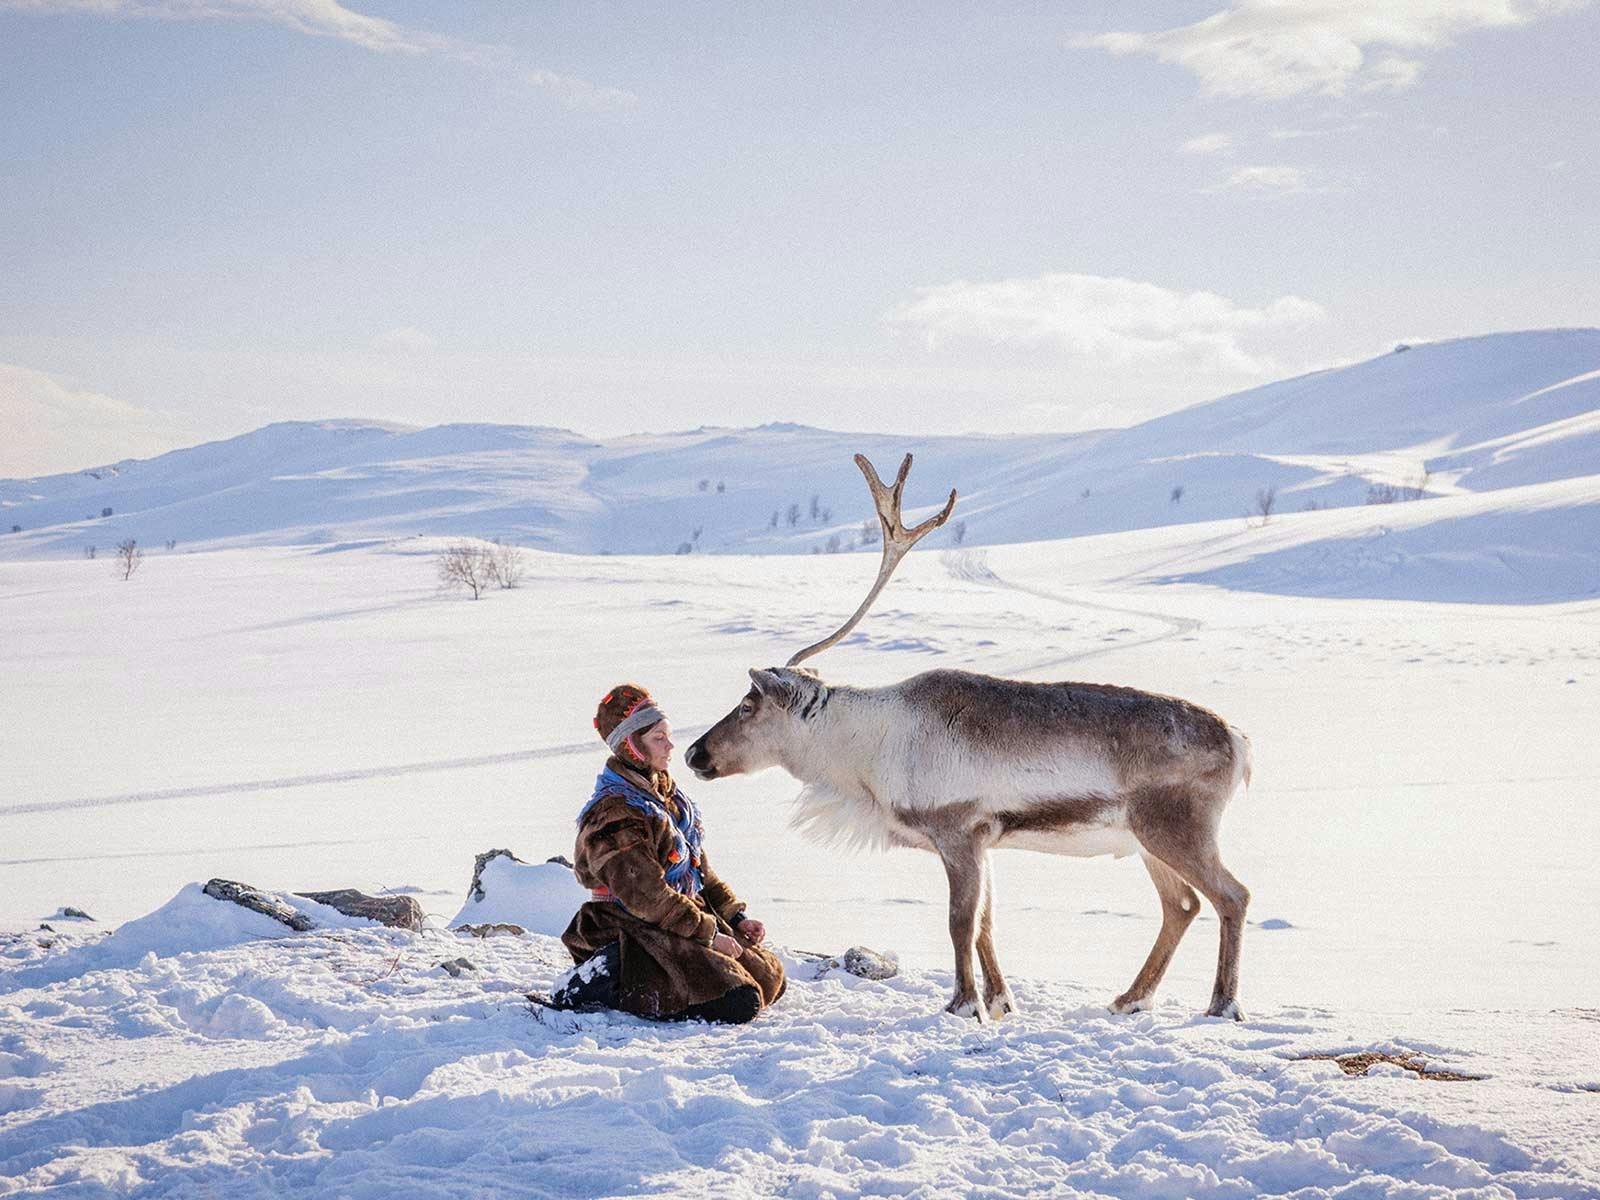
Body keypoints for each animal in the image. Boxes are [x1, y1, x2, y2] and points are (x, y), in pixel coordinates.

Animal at [685, 454, 1254, 1022]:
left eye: (747, 706)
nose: (695, 752)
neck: (865, 757)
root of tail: (1239, 742)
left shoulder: (958, 829)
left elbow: (960, 922)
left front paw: (963, 1003)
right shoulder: (986, 839)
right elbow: (984, 923)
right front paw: (1000, 1001)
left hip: (1177, 827)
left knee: (1233, 895)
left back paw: (1222, 1004)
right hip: (1145, 839)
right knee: (1182, 905)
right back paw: (1130, 999)